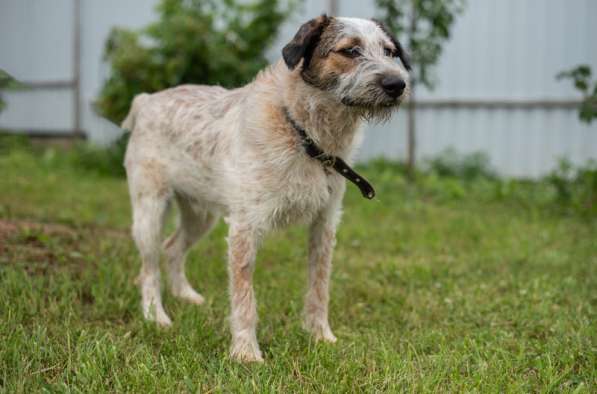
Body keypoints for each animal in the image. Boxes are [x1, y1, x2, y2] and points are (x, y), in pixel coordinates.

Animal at [121, 13, 410, 362]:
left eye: (390, 51)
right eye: (350, 51)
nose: (397, 85)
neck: (303, 133)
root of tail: (147, 100)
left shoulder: (324, 224)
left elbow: (319, 286)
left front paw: (320, 336)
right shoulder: (244, 227)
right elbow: (245, 297)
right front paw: (246, 353)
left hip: (200, 215)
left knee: (172, 248)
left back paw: (187, 296)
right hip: (149, 211)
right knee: (149, 268)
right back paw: (156, 316)